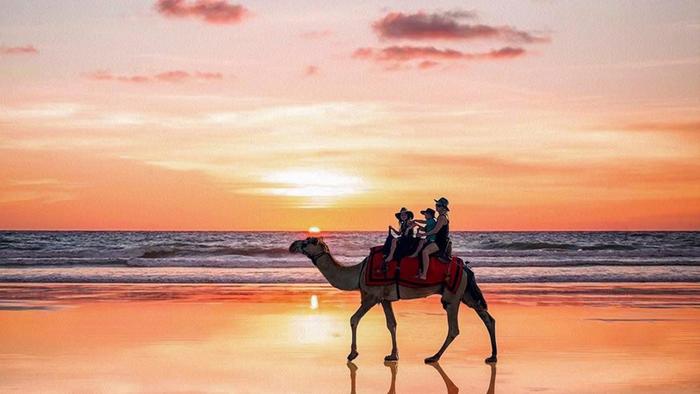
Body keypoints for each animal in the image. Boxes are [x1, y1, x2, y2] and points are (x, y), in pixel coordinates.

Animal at [290, 237, 498, 364]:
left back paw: (433, 357)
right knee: (488, 318)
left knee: (454, 328)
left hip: (452, 296)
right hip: (466, 294)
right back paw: (492, 356)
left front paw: (352, 354)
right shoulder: (385, 299)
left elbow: (353, 319)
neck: (358, 272)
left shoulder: (372, 296)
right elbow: (392, 324)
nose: (293, 244)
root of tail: (466, 269)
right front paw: (393, 355)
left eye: (309, 241)